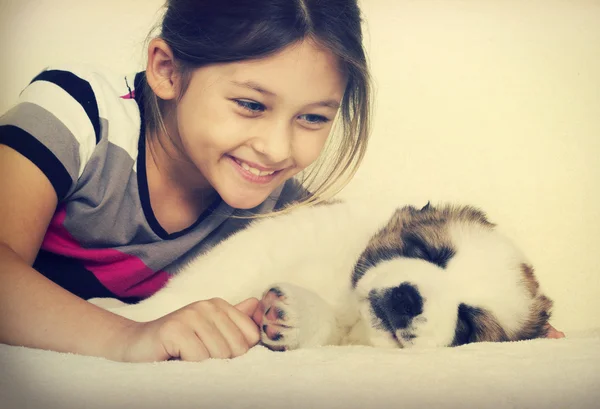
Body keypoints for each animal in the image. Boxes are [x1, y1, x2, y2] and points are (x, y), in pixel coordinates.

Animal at [94, 199, 552, 350]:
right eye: (423, 251)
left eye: (466, 324)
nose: (408, 299)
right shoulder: (269, 241)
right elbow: (189, 292)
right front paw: (132, 317)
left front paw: (294, 317)